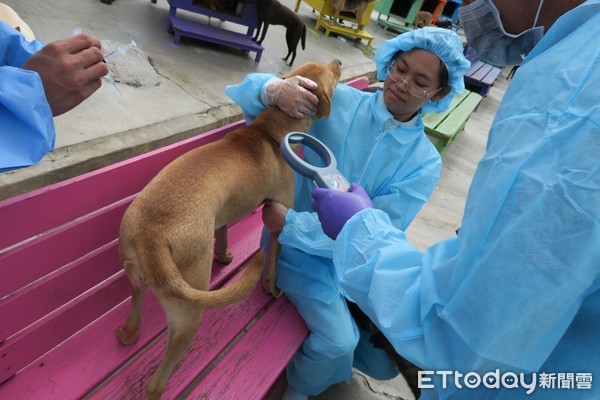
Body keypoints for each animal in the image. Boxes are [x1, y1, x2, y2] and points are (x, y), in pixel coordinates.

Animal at [117, 60, 342, 400]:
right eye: (331, 72)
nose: (339, 62)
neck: (270, 133)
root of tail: (151, 237)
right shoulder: (277, 221)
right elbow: (274, 262)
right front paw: (270, 287)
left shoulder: (222, 216)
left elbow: (222, 235)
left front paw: (223, 258)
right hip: (187, 317)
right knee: (156, 383)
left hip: (137, 280)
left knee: (134, 314)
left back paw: (129, 333)